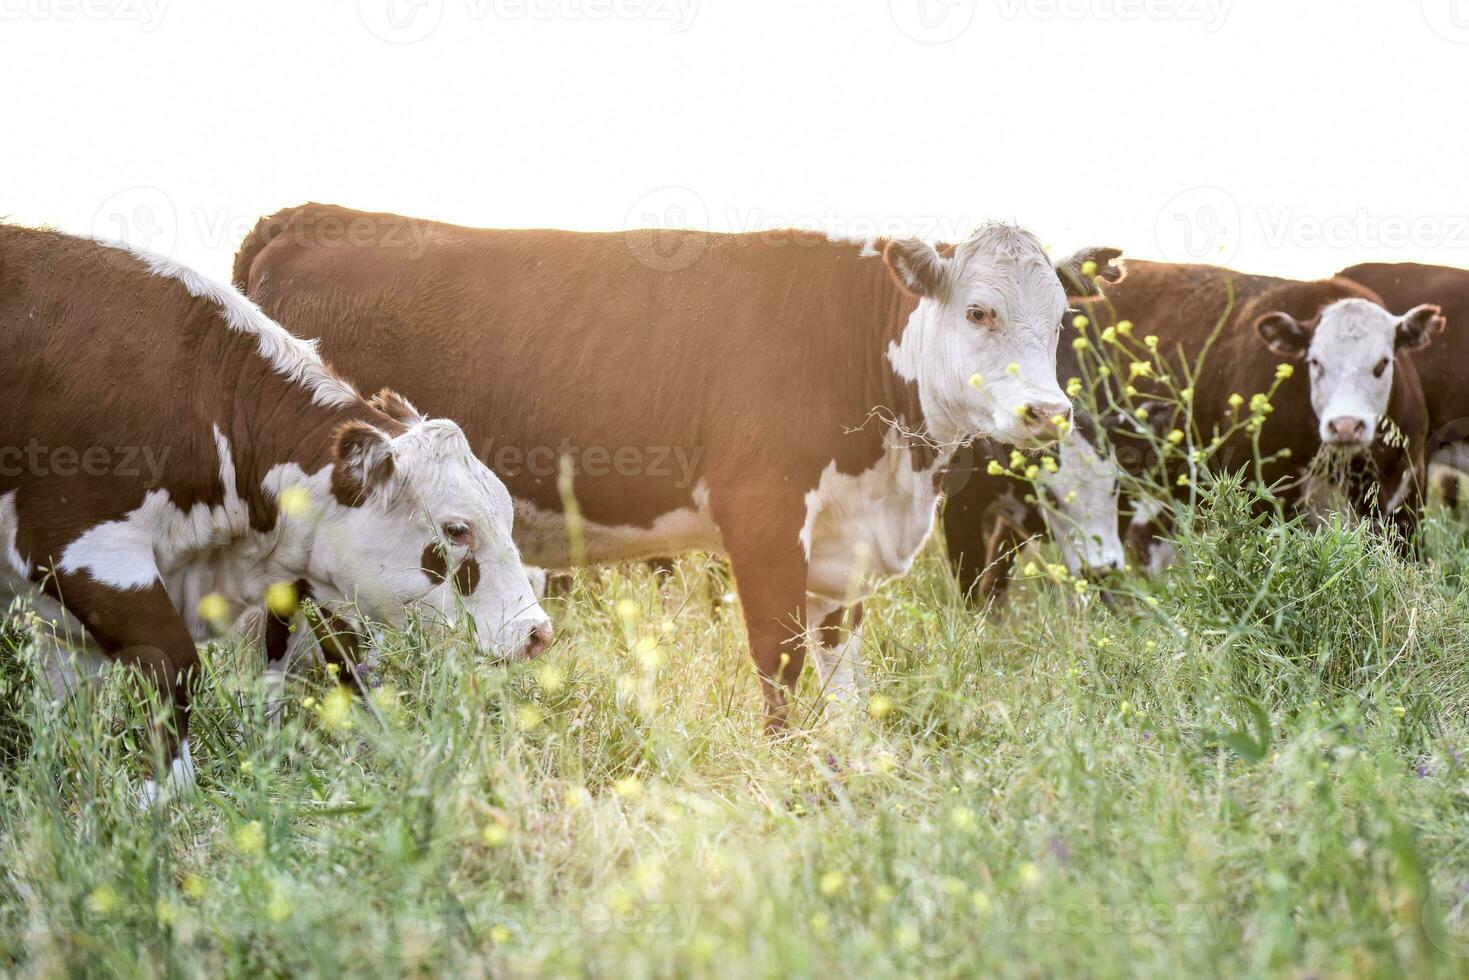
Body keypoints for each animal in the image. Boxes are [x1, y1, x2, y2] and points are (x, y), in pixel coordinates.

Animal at [235, 201, 1116, 728]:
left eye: (1059, 318)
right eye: (979, 311)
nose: (1048, 412)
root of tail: (310, 217)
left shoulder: (845, 544)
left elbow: (840, 670)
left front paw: (849, 761)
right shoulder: (763, 521)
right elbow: (778, 662)